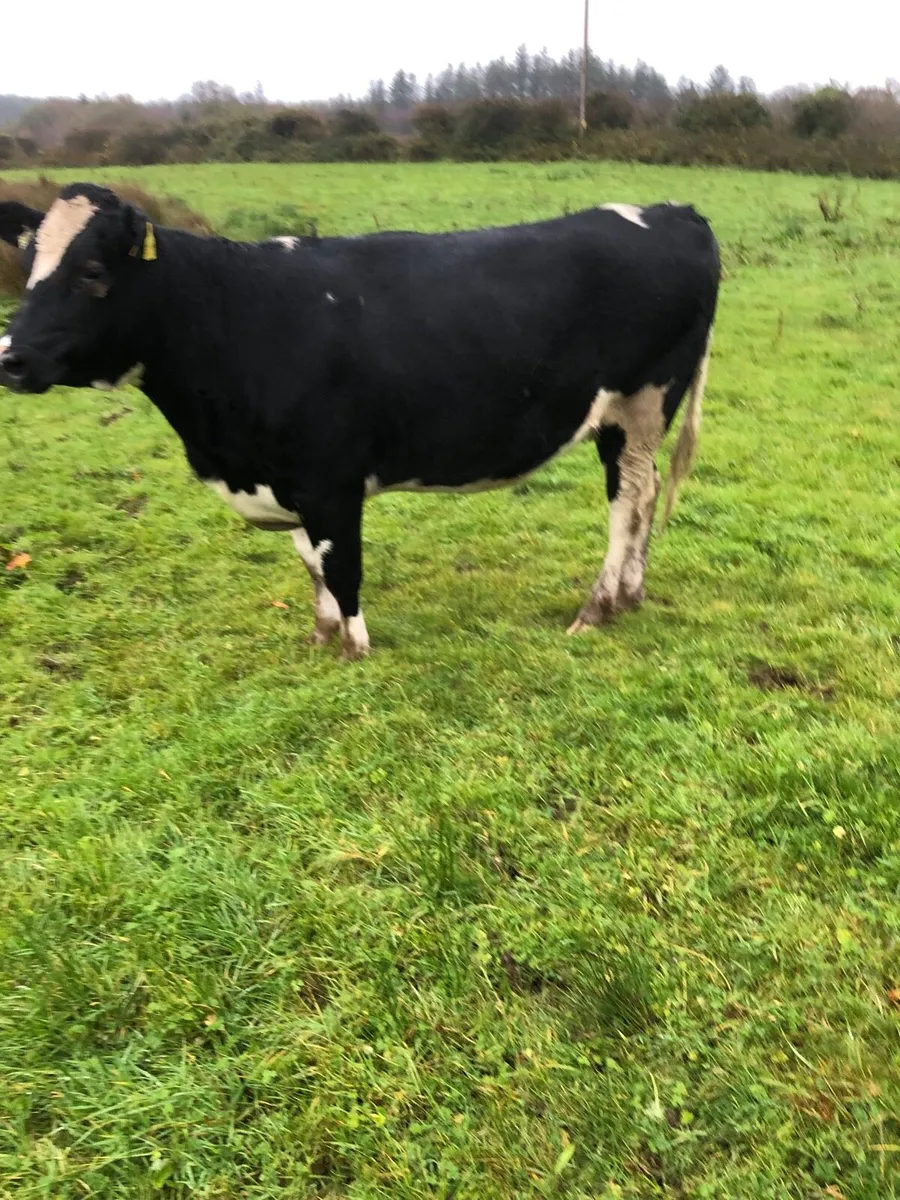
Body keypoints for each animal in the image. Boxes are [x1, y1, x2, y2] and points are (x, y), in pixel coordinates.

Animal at [0, 183, 719, 660]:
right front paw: (321, 635)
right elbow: (309, 562)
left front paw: (355, 647)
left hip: (640, 404)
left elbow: (339, 563)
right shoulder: (284, 475)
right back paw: (631, 593)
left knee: (629, 500)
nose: (10, 356)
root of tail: (671, 211)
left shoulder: (329, 477)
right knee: (649, 493)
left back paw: (598, 607)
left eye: (92, 271)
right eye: (28, 267)